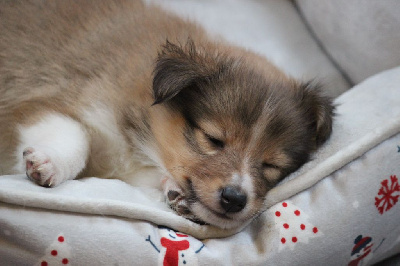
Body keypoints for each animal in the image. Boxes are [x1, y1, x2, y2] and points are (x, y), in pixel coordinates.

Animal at [0, 0, 334, 229]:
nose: (235, 199)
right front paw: (49, 163)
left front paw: (176, 192)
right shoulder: (51, 97)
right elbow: (73, 131)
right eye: (213, 139)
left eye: (271, 165)